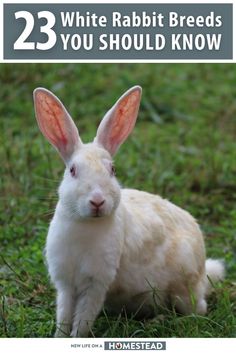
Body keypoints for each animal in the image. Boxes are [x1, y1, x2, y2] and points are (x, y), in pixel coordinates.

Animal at [33, 85, 225, 338]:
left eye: (112, 170)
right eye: (72, 170)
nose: (97, 201)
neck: (86, 224)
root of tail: (204, 273)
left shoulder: (97, 283)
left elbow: (83, 317)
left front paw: (76, 337)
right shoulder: (65, 284)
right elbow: (64, 315)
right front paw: (59, 337)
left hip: (183, 288)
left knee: (197, 310)